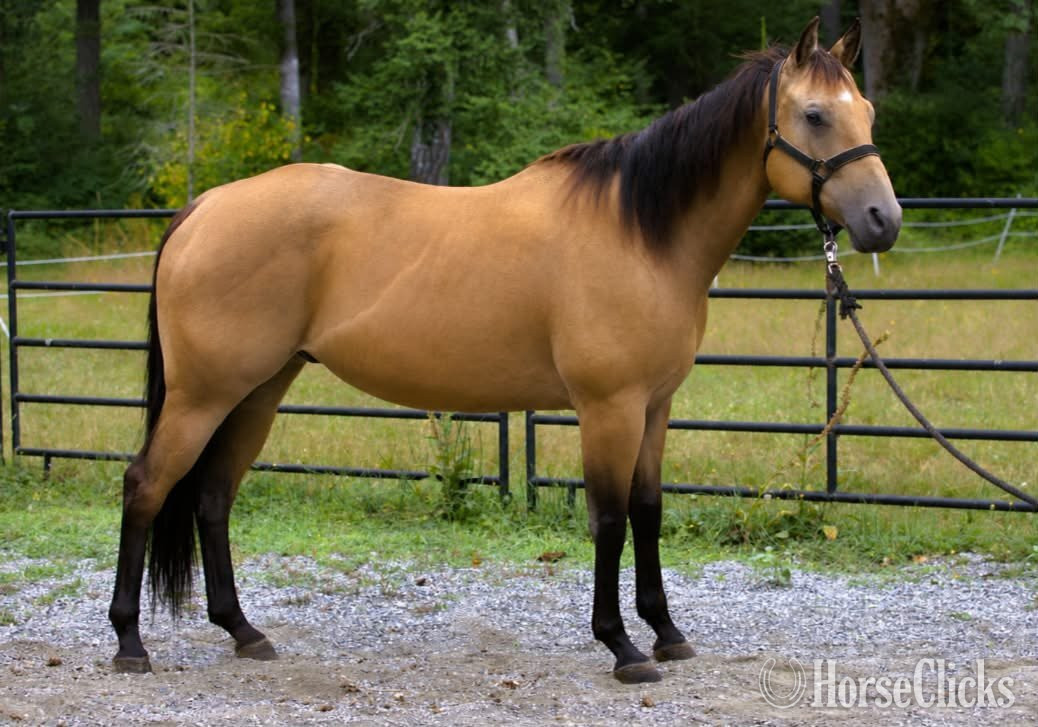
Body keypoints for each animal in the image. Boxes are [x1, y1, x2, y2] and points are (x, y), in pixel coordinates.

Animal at [109, 17, 900, 684]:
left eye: (867, 113)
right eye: (814, 115)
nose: (883, 221)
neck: (641, 232)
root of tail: (204, 206)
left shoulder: (655, 407)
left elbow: (647, 510)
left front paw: (667, 633)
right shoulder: (608, 408)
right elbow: (608, 519)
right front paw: (622, 647)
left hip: (258, 391)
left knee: (213, 495)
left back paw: (243, 631)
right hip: (205, 394)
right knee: (147, 485)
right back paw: (129, 642)